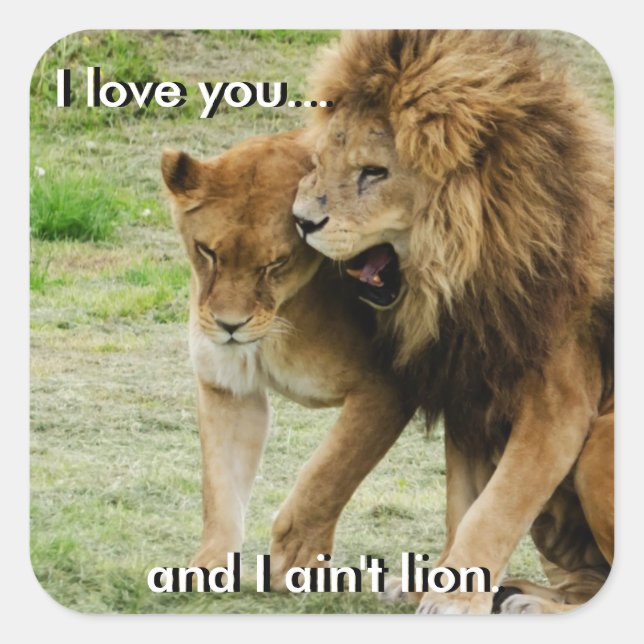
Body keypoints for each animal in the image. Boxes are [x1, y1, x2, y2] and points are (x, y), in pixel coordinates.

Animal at [161, 130, 414, 584]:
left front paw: (299, 555)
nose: (229, 325)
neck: (282, 316)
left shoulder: (389, 387)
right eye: (207, 252)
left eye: (276, 262)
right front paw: (210, 564)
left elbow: (330, 473)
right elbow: (220, 487)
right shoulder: (228, 387)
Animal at [293, 30, 614, 614]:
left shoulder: (561, 405)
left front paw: (453, 599)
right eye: (322, 158)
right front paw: (439, 583)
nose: (301, 222)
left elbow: (498, 505)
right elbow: (461, 503)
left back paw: (533, 604)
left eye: (373, 171)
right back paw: (517, 591)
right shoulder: (470, 389)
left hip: (603, 439)